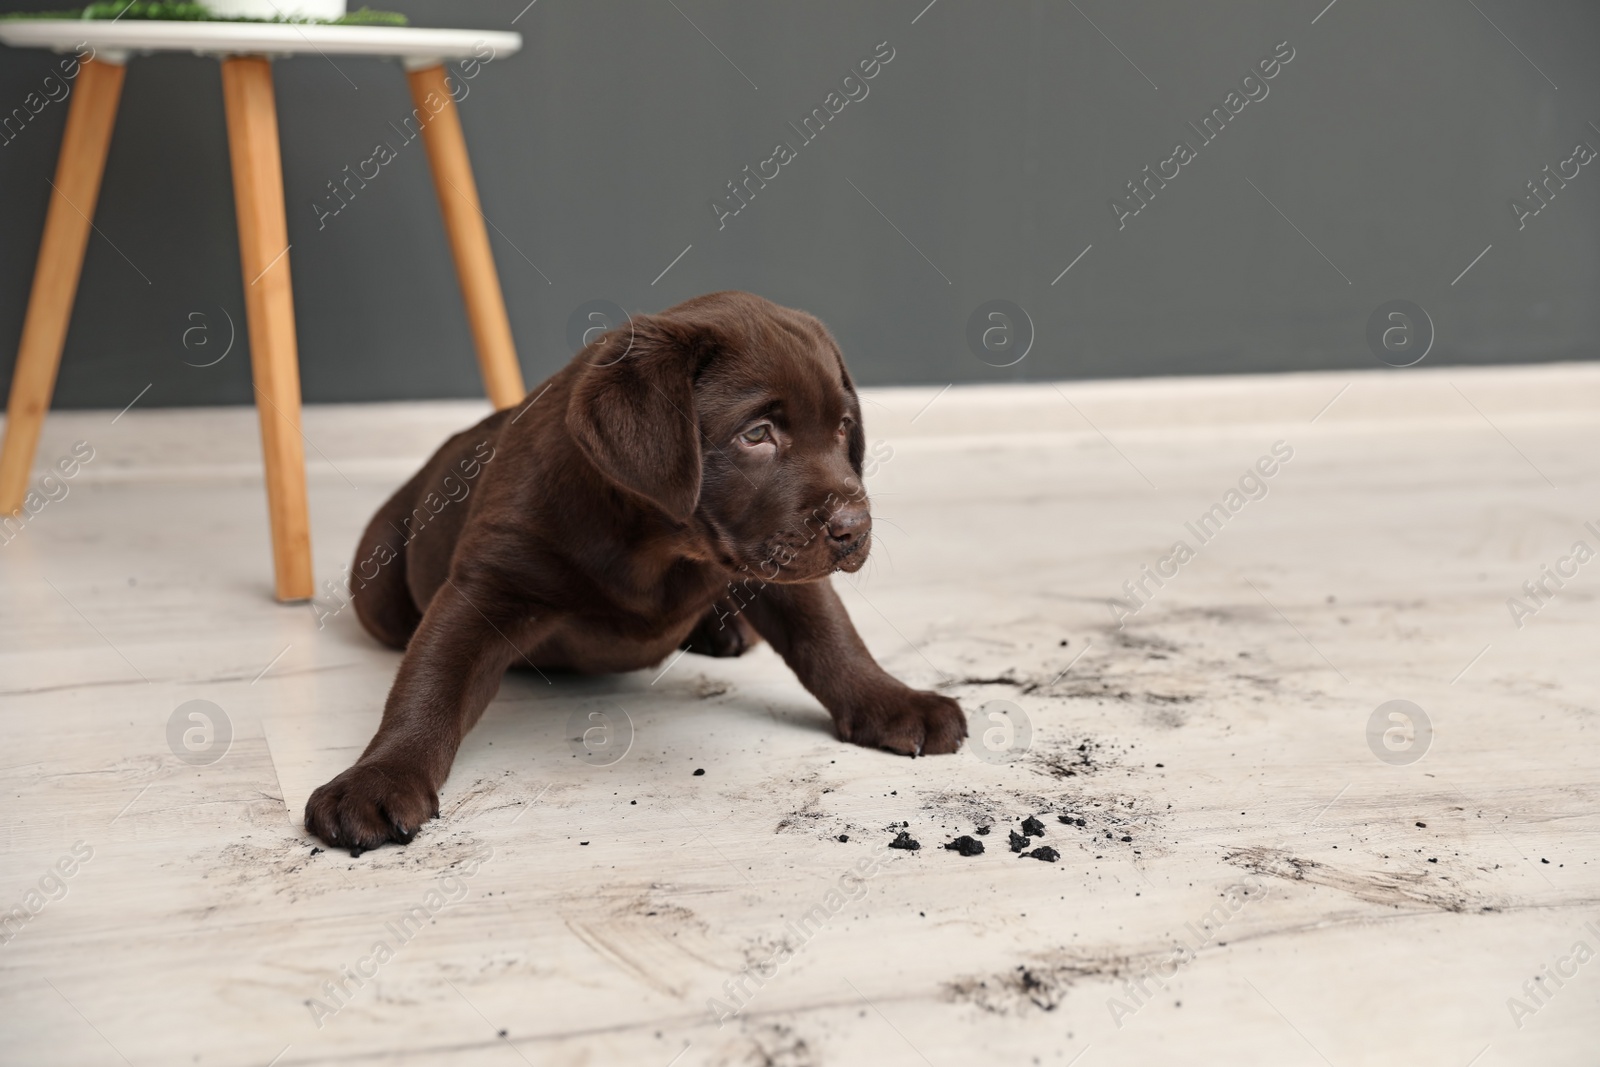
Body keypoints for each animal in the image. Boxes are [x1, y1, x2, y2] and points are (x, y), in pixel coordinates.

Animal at [307, 287, 966, 857]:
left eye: (842, 428)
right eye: (757, 434)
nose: (855, 528)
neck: (659, 547)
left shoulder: (778, 572)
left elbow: (832, 641)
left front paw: (894, 701)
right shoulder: (488, 585)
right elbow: (430, 685)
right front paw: (379, 776)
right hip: (378, 587)